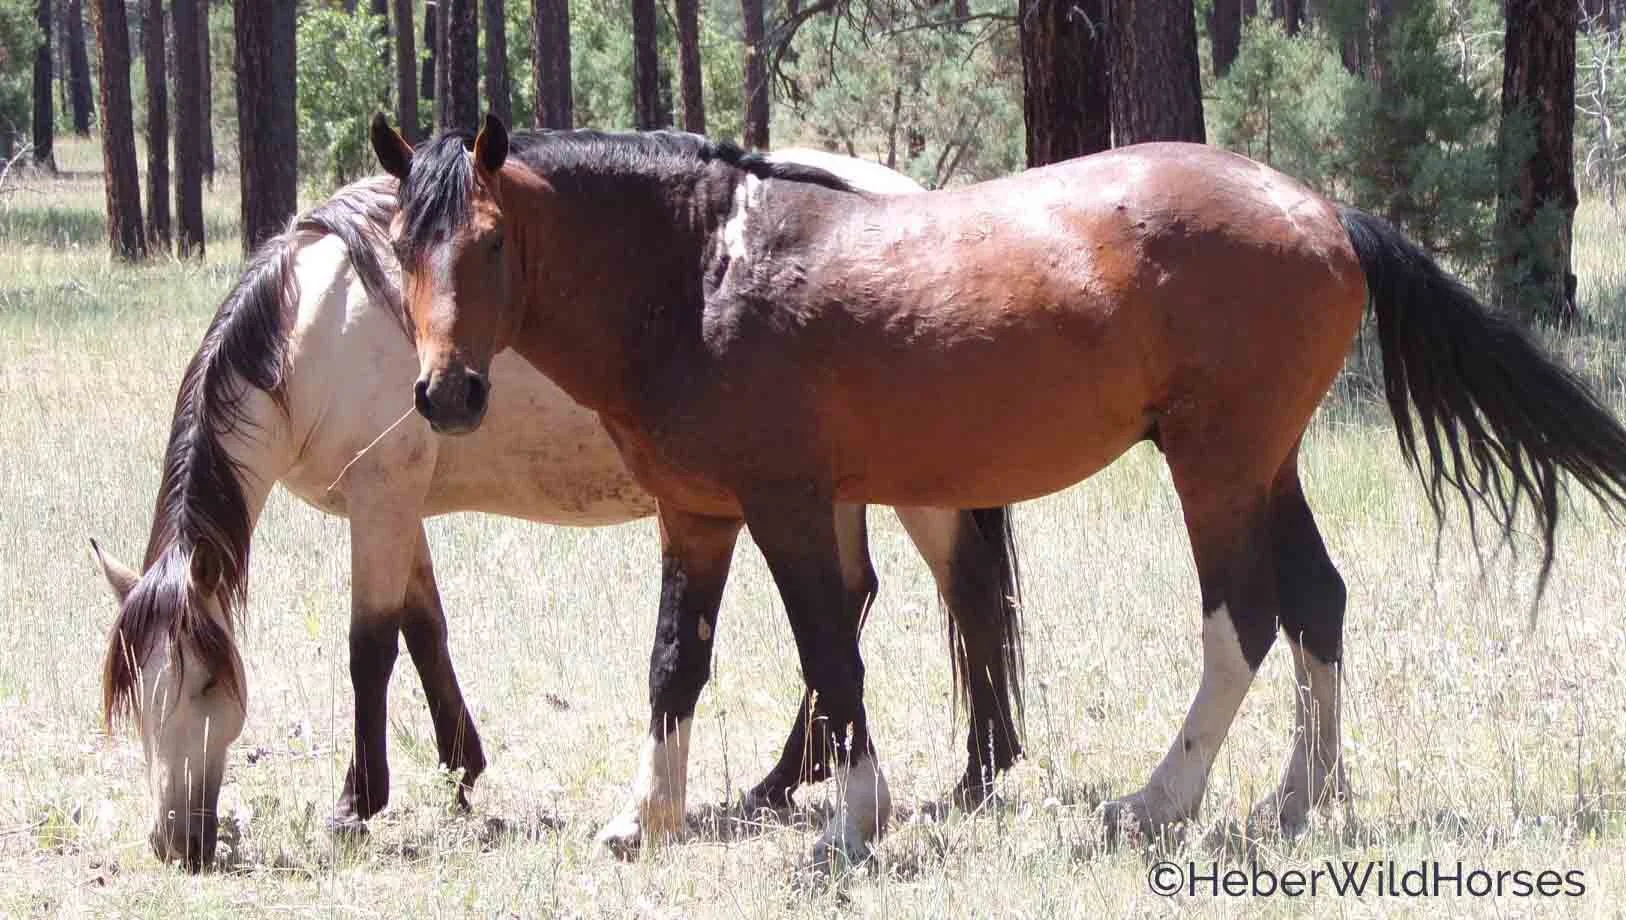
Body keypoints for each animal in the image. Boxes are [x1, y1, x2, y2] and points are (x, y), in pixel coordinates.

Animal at [93, 162, 1026, 869]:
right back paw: (782, 782)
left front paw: (358, 803)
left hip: (912, 488)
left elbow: (371, 651)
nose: (175, 842)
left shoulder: (380, 501)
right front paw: (462, 770)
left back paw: (980, 774)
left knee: (968, 595)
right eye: (134, 694)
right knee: (858, 598)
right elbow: (426, 631)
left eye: (207, 685)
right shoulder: (401, 509)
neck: (313, 331)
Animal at [374, 112, 1626, 865]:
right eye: (400, 244)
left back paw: (1158, 802)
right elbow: (674, 660)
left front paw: (854, 822)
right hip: (1267, 461)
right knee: (1320, 601)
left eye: (490, 243)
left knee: (1245, 619)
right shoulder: (699, 515)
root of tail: (1323, 212)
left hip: (1216, 464)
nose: (446, 393)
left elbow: (832, 653)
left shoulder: (789, 503)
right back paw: (1295, 799)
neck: (702, 274)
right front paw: (647, 817)